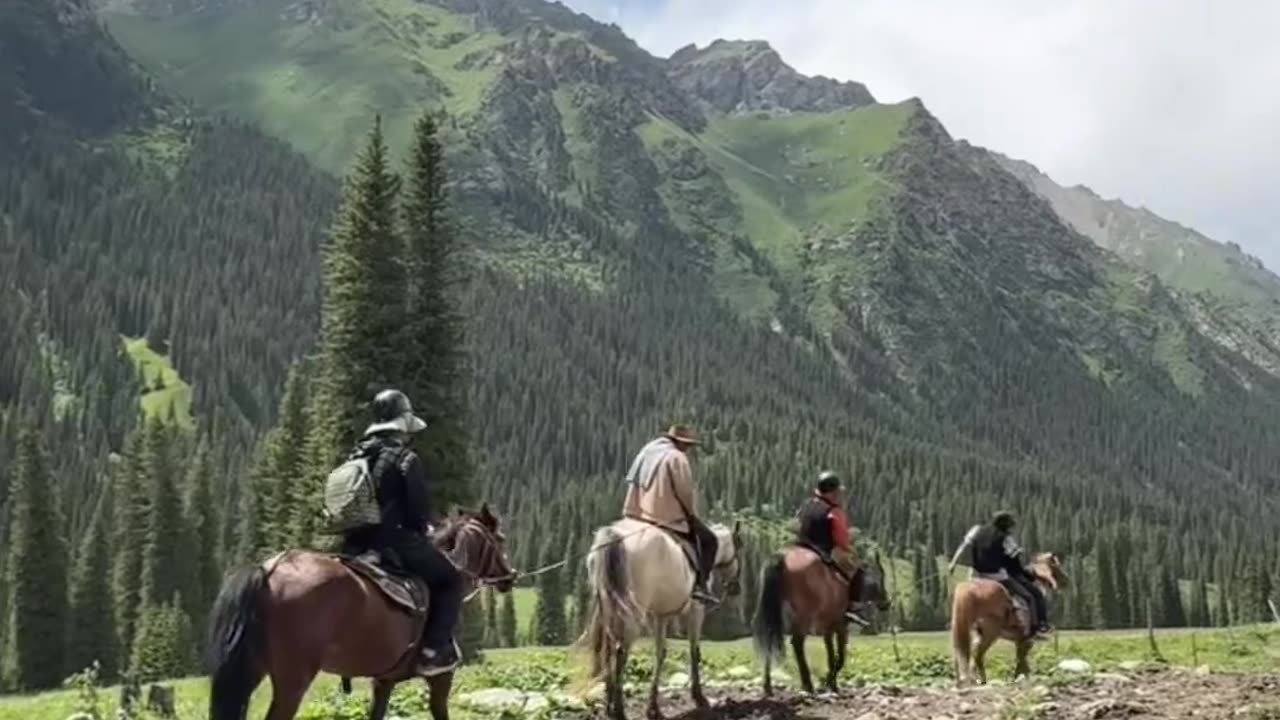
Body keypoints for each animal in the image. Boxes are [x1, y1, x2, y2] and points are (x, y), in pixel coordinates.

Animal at [204, 502, 514, 717]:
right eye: (500, 538)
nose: (510, 576)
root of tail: (269, 570)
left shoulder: (383, 681)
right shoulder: (441, 678)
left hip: (251, 670)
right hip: (292, 681)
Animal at [578, 515, 747, 717]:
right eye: (739, 547)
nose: (736, 587)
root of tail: (615, 536)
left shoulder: (660, 616)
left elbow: (660, 653)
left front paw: (653, 706)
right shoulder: (696, 610)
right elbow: (694, 650)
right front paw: (698, 696)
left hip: (608, 609)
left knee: (608, 650)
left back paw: (609, 704)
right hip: (633, 612)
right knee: (621, 652)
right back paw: (619, 709)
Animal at [747, 543, 890, 696]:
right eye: (881, 576)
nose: (886, 603)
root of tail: (782, 557)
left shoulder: (828, 630)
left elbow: (832, 657)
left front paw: (830, 683)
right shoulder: (840, 627)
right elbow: (839, 658)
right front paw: (829, 683)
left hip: (774, 616)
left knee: (769, 638)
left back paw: (768, 686)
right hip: (802, 618)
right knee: (797, 644)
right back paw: (807, 684)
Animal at [952, 548, 1070, 681]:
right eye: (1056, 566)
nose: (1066, 581)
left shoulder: (1019, 640)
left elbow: (1020, 662)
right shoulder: (1026, 641)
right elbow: (1022, 662)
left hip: (977, 633)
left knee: (972, 656)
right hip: (989, 634)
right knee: (977, 656)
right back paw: (980, 679)